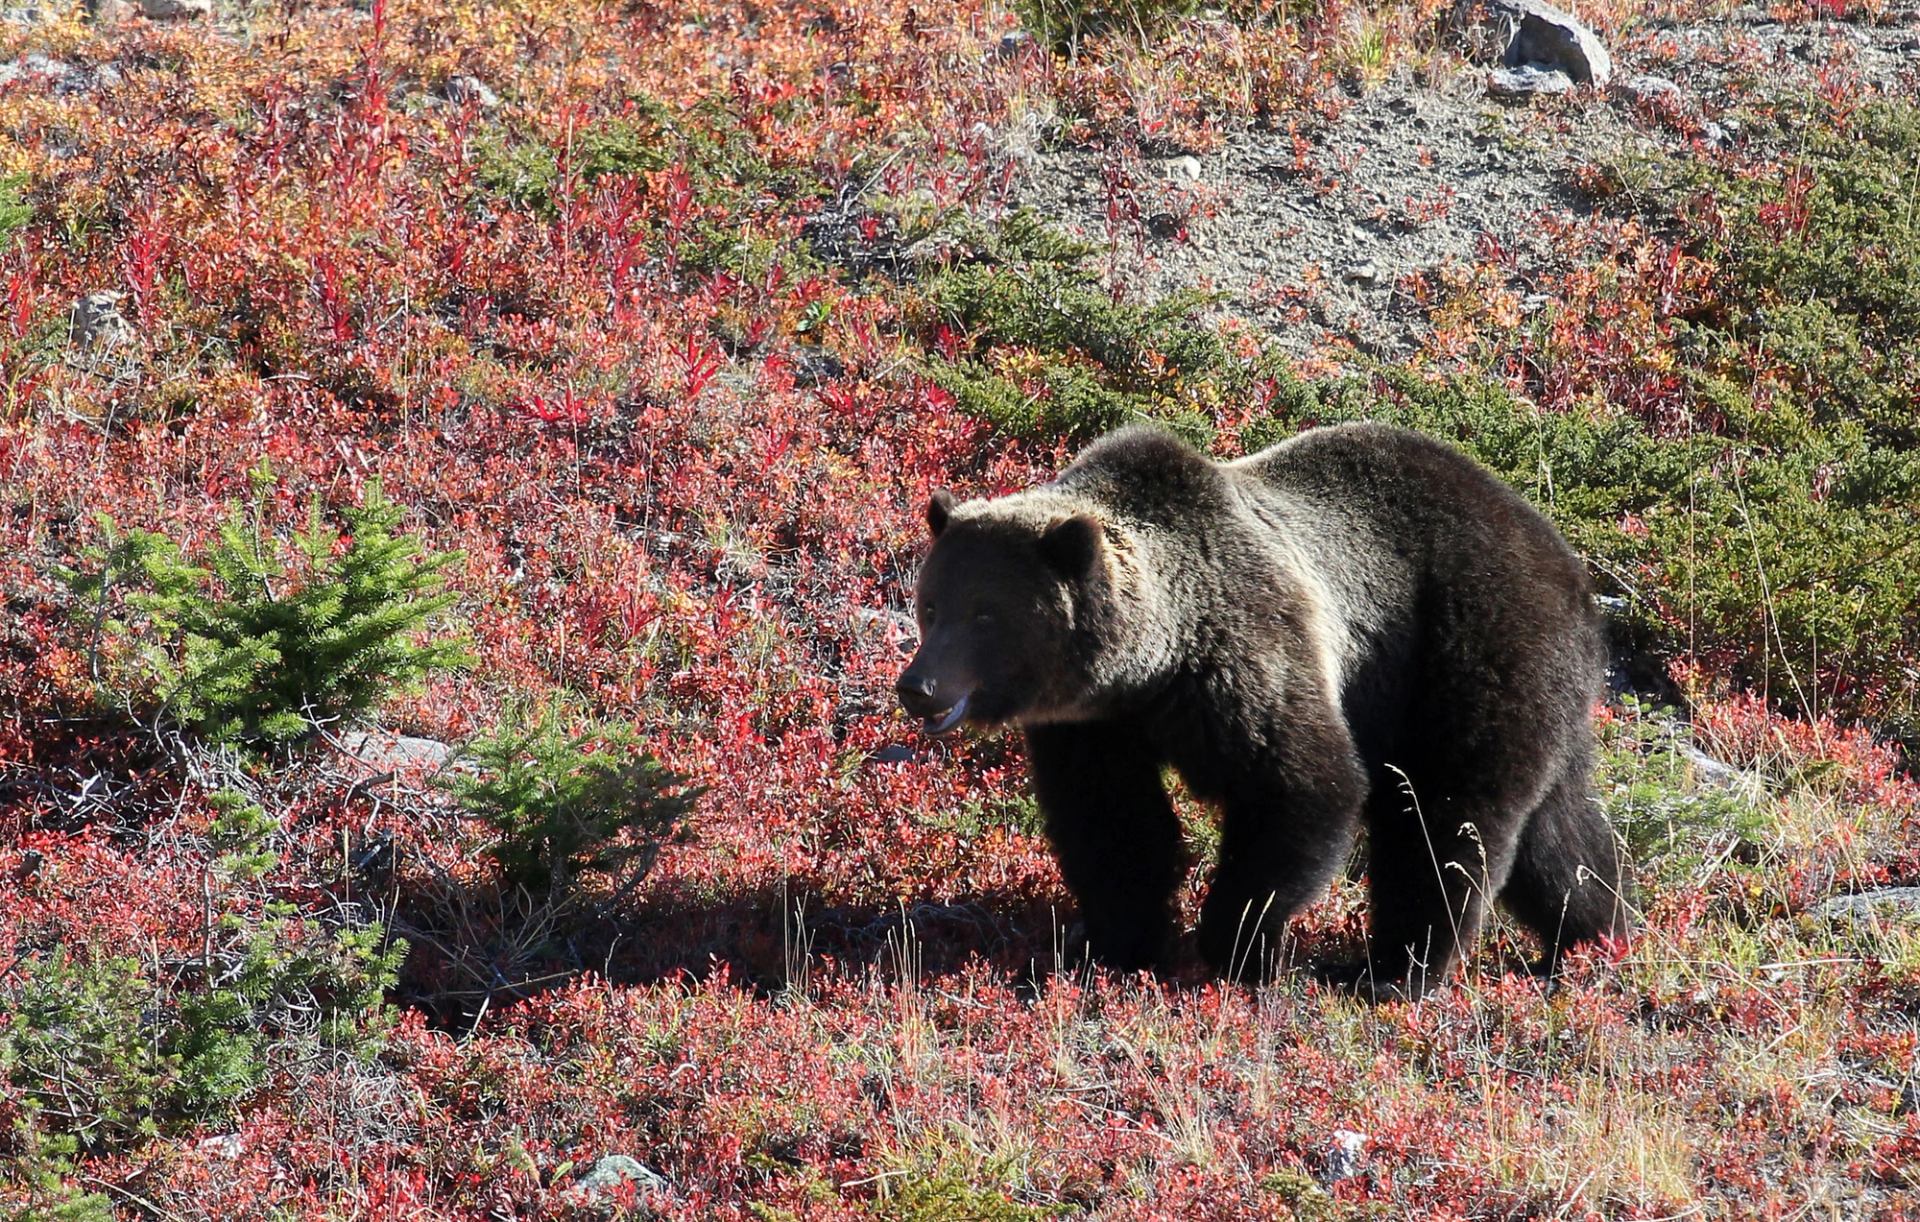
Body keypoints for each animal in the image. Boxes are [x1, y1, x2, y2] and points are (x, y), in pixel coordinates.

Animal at [898, 424, 1635, 999]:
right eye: (932, 604)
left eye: (986, 615)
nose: (919, 687)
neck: (1148, 666)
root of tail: (1565, 560)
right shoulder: (1093, 724)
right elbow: (1113, 821)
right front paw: (1115, 943)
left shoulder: (1245, 653)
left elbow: (1301, 787)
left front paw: (1234, 946)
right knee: (1559, 834)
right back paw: (1595, 940)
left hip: (1466, 649)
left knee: (1446, 817)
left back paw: (1391, 972)